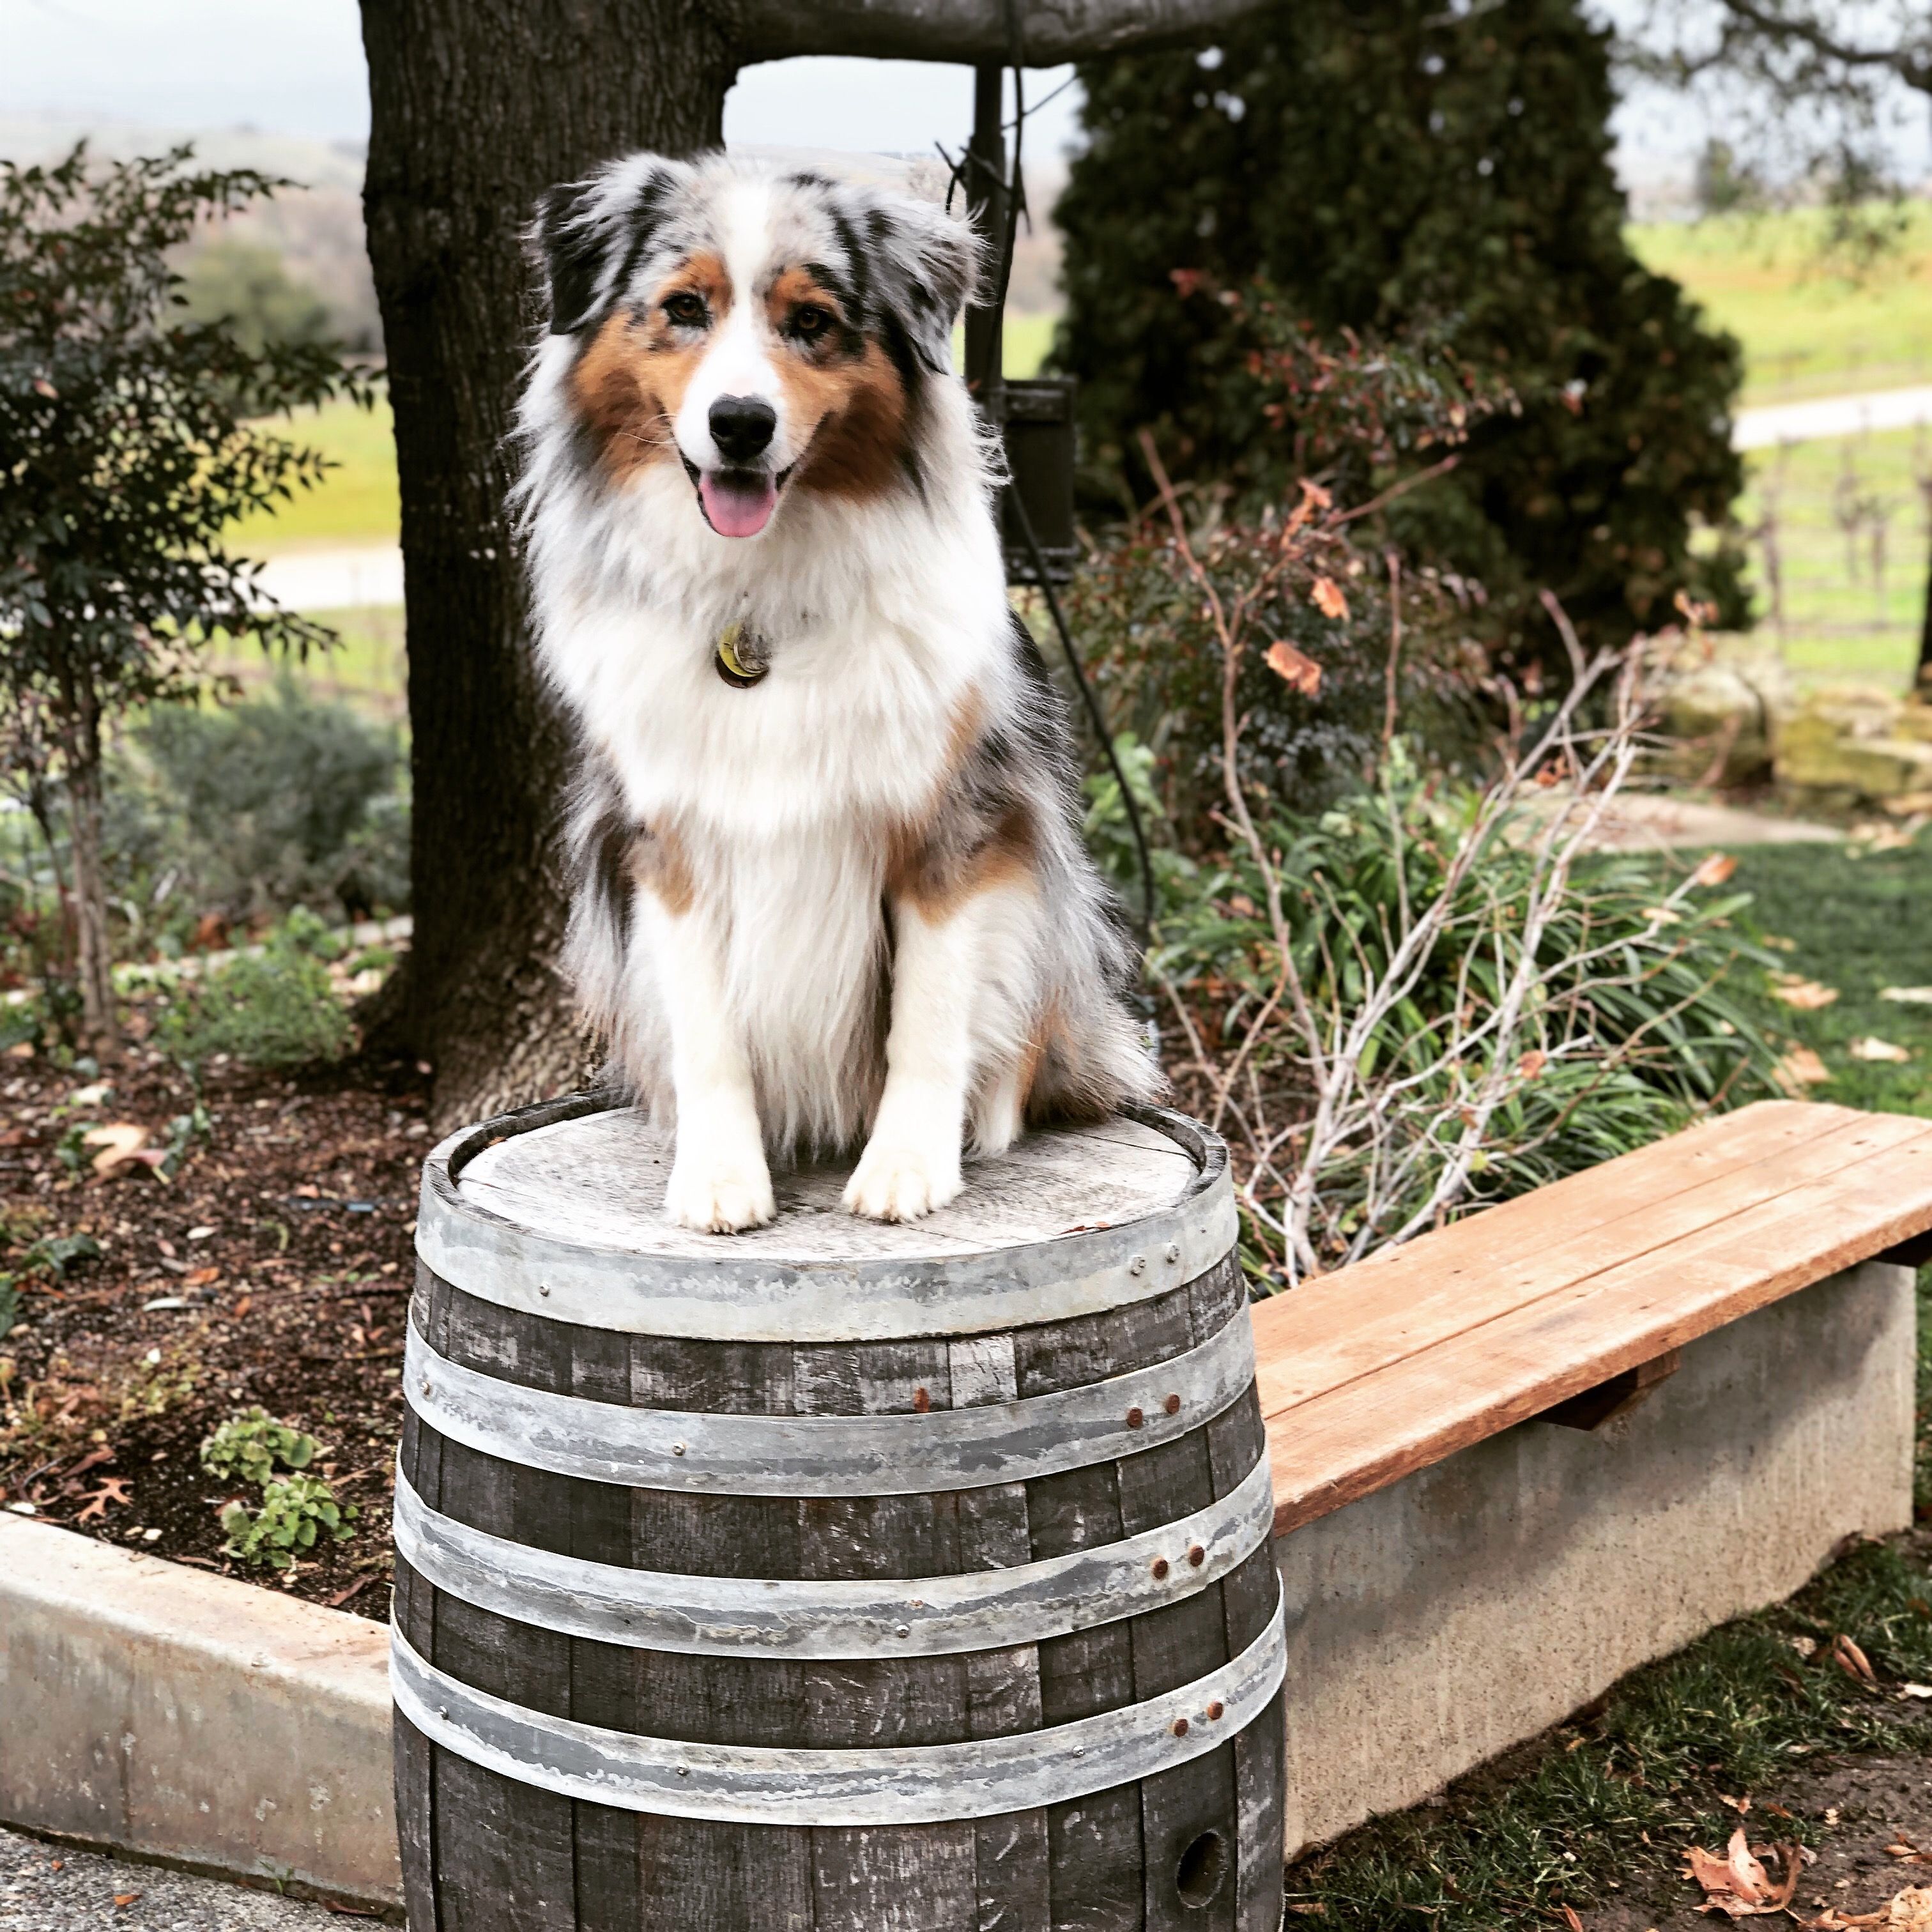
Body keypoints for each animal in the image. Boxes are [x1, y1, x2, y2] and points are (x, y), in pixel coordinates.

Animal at [510, 154, 1159, 1236]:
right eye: (684, 308)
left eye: (810, 320)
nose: (740, 424)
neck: (757, 607)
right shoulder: (670, 843)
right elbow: (709, 1029)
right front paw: (719, 1177)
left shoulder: (955, 825)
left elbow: (927, 1019)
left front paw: (907, 1168)